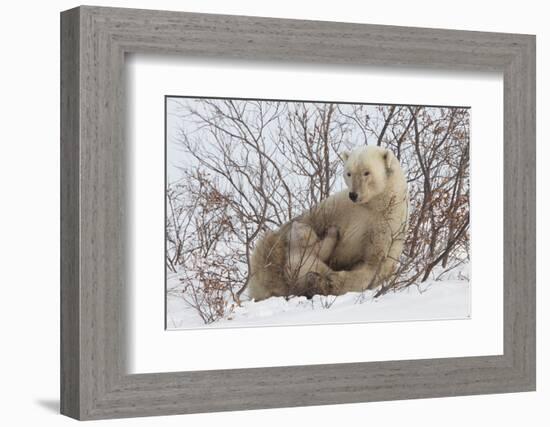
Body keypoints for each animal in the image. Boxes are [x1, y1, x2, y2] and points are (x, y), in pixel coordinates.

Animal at [248, 147, 408, 300]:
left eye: (366, 172)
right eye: (349, 173)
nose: (353, 194)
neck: (374, 204)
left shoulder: (385, 225)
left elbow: (371, 264)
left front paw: (331, 281)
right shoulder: (338, 207)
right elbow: (311, 222)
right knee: (267, 250)